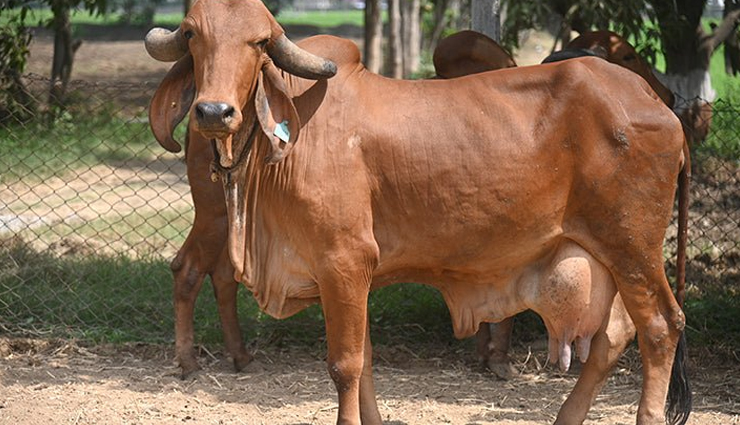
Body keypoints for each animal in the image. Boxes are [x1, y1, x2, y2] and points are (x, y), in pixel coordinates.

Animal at [146, 1, 691, 423]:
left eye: (259, 42)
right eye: (192, 34)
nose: (214, 113)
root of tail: (658, 104)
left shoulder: (343, 261)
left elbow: (344, 364)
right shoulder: (349, 275)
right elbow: (364, 361)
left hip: (633, 248)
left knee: (661, 328)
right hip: (608, 256)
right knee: (614, 337)